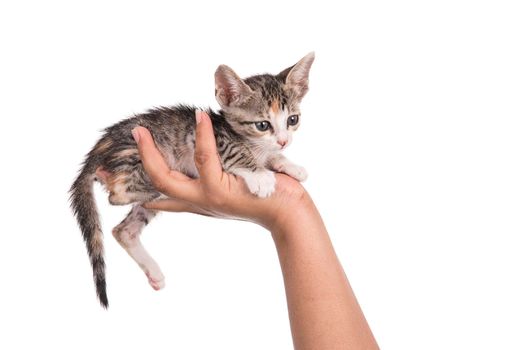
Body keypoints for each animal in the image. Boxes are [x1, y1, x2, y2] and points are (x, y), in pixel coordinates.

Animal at [69, 51, 316, 306]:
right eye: (262, 125)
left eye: (293, 120)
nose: (284, 141)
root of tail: (94, 154)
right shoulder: (210, 139)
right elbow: (239, 154)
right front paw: (261, 176)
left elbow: (272, 156)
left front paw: (290, 165)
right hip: (134, 153)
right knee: (117, 195)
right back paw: (161, 190)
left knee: (123, 231)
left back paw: (152, 269)